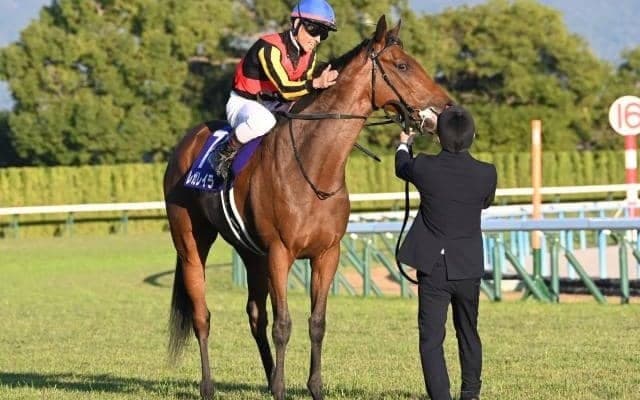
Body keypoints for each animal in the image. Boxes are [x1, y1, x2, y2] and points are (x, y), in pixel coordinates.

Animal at [163, 15, 452, 400]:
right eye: (403, 65)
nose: (446, 109)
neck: (314, 166)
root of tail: (186, 143)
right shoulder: (279, 253)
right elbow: (284, 325)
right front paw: (281, 389)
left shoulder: (327, 254)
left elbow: (317, 322)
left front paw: (311, 386)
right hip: (192, 244)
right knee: (202, 315)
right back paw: (209, 385)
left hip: (251, 253)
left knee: (255, 316)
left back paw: (268, 375)